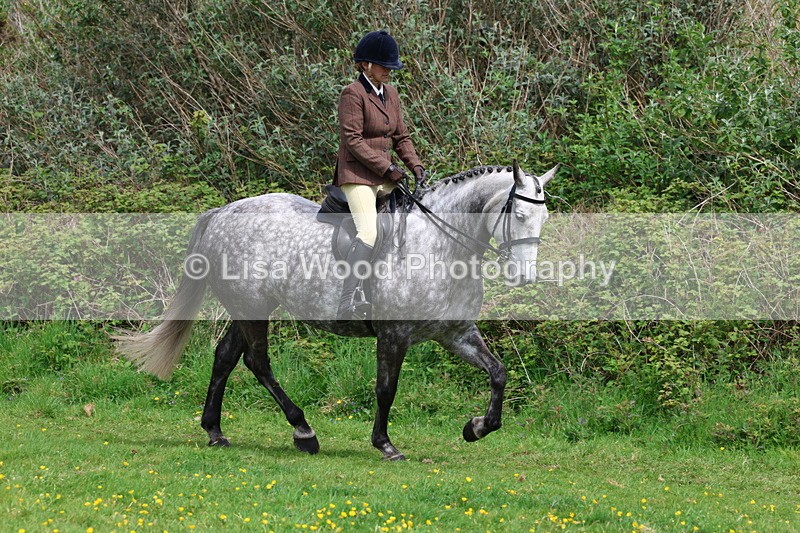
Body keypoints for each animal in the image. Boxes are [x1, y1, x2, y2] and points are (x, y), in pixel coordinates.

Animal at [115, 161, 557, 460]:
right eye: (519, 214)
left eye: (545, 216)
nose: (525, 276)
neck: (440, 245)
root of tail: (224, 212)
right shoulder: (394, 335)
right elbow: (386, 388)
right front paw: (385, 444)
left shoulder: (456, 333)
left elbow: (498, 373)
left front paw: (477, 427)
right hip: (252, 307)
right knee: (257, 362)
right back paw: (303, 431)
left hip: (250, 307)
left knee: (226, 356)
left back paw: (215, 431)